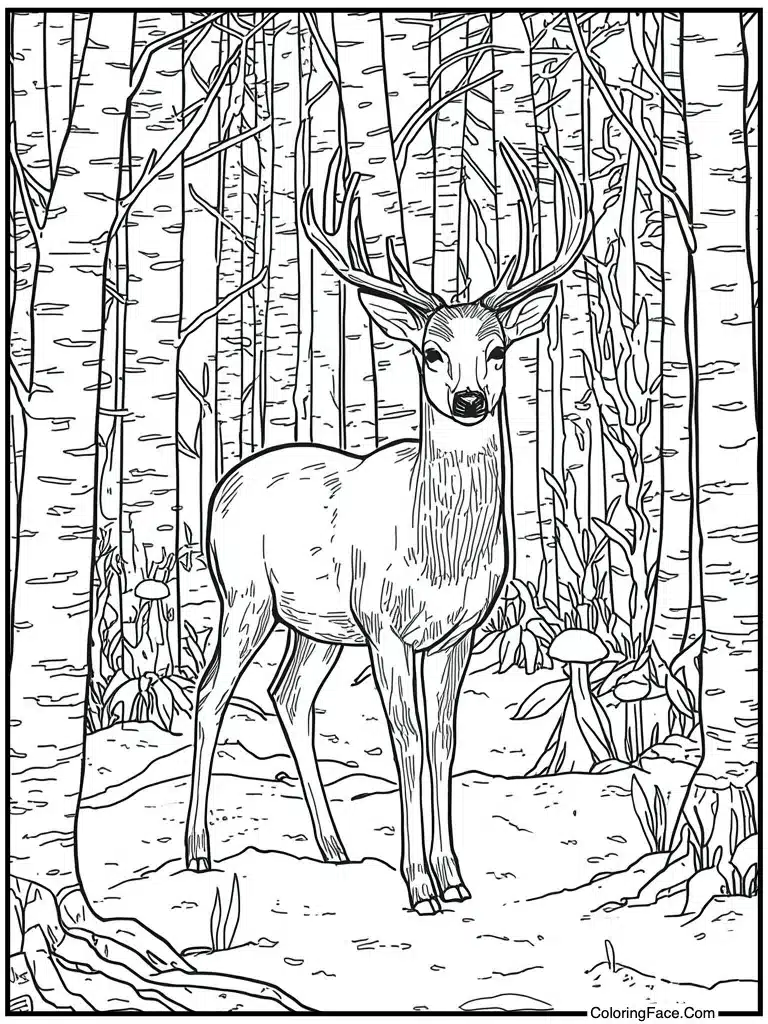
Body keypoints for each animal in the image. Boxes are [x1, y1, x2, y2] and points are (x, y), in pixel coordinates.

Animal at [185, 139, 591, 915]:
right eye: (430, 351)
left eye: (498, 350)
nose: (468, 398)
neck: (440, 552)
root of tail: (221, 489)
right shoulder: (384, 625)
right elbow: (404, 740)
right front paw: (420, 884)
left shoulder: (459, 633)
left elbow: (443, 740)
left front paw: (455, 876)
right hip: (245, 596)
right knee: (212, 694)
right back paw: (197, 851)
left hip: (316, 626)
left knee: (288, 696)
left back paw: (335, 847)